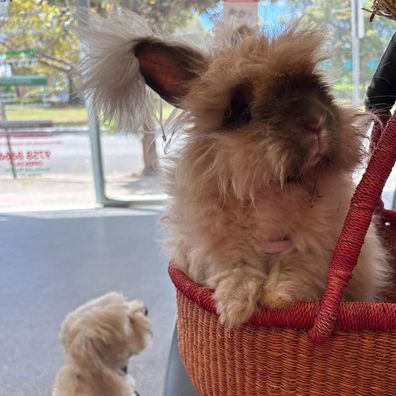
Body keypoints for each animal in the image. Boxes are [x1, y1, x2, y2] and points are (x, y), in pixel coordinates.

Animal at [79, 13, 392, 328]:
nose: (316, 122)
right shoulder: (224, 248)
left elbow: (294, 270)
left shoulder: (315, 246)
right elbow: (238, 272)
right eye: (242, 111)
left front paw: (277, 300)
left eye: (320, 89)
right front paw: (234, 311)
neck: (274, 190)